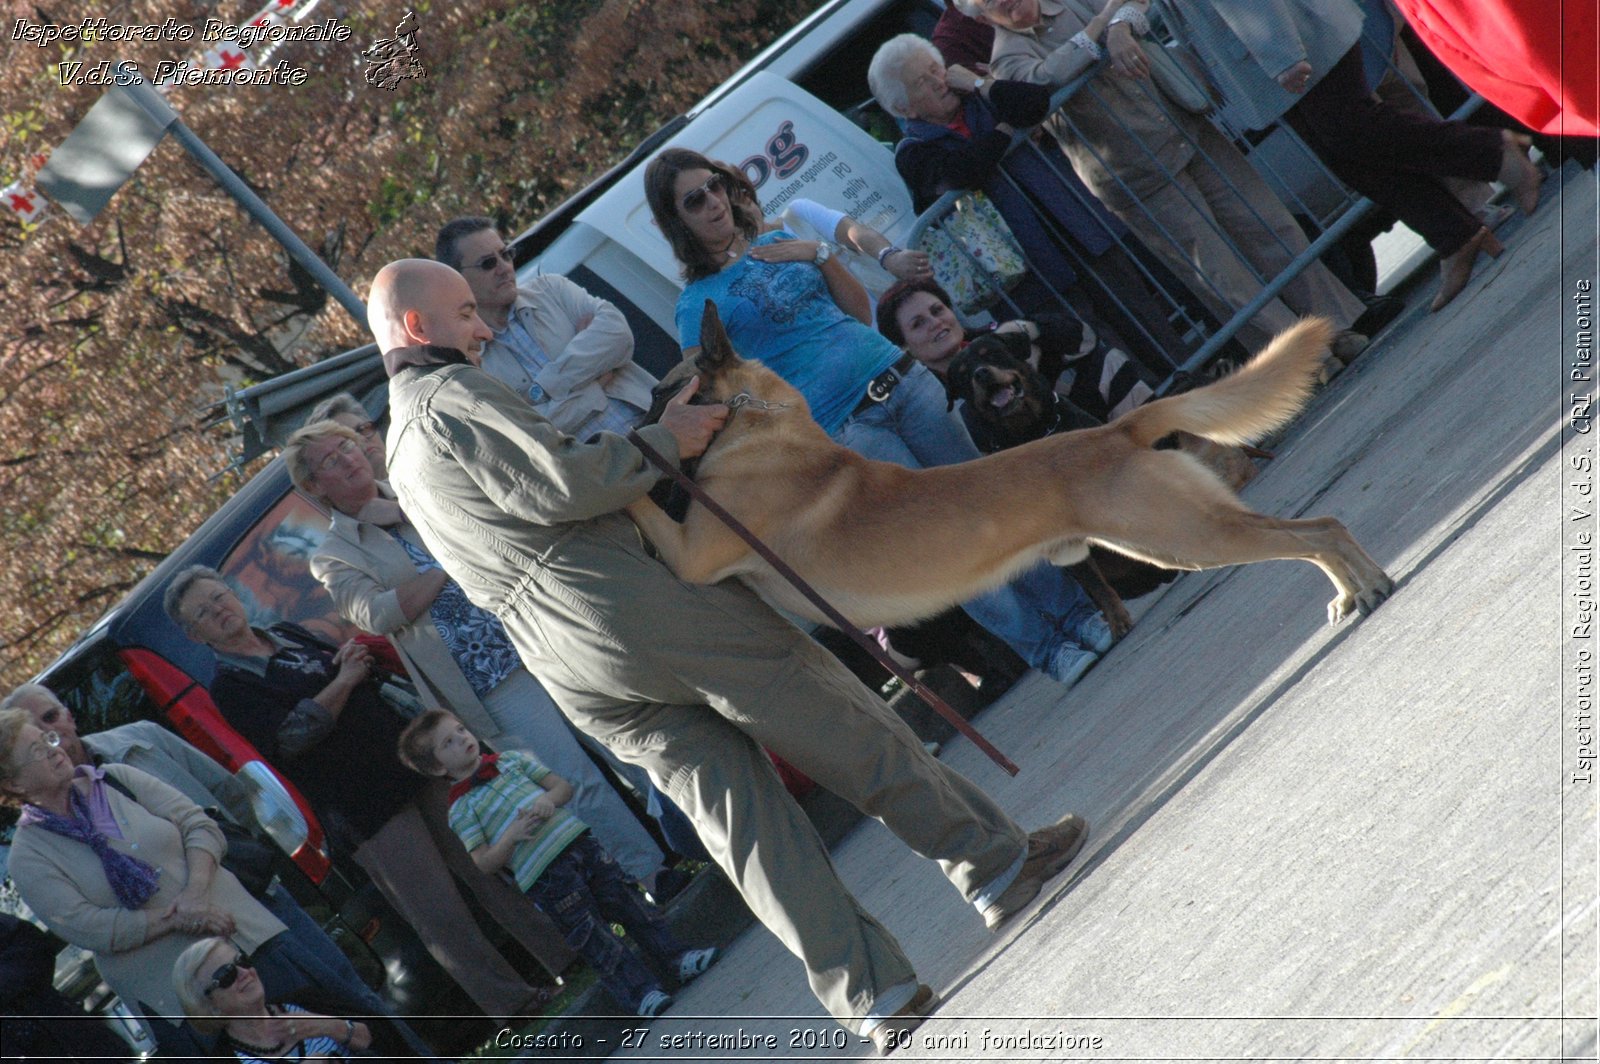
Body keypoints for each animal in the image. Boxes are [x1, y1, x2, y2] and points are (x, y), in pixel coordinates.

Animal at [630, 299, 1395, 630]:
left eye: (660, 393)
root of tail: (1115, 429)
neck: (762, 424)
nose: (636, 420)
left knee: (1314, 531)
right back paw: (1360, 589)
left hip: (1185, 537)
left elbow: (639, 506)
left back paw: (1361, 589)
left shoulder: (689, 555)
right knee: (1313, 530)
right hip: (1180, 533)